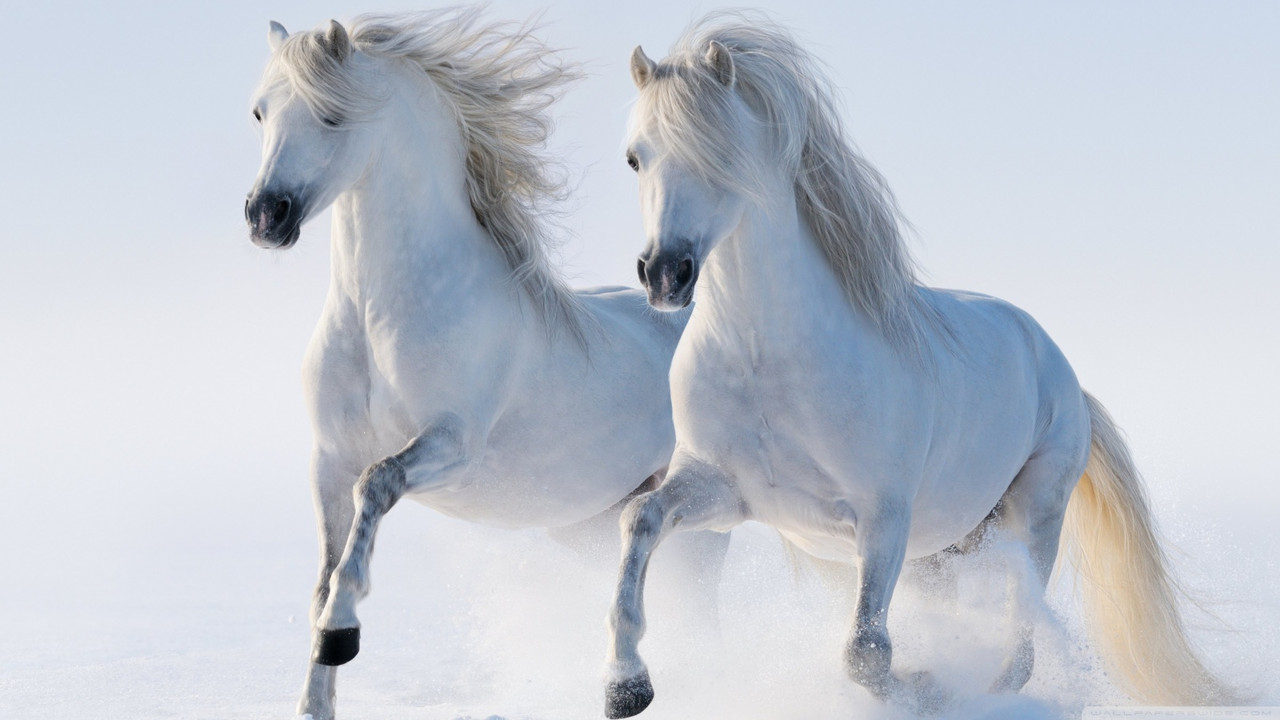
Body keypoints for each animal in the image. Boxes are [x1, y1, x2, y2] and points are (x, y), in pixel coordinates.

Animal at [240, 11, 721, 717]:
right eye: (260, 111)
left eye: (331, 115)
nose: (265, 216)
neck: (378, 315)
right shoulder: (328, 459)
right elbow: (323, 574)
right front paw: (314, 697)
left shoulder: (451, 444)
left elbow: (376, 487)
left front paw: (342, 632)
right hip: (589, 524)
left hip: (704, 517)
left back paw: (633, 685)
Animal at [604, 14, 1233, 712]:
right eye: (635, 157)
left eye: (720, 154)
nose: (665, 273)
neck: (767, 360)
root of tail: (1061, 371)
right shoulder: (723, 491)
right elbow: (639, 518)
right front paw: (626, 686)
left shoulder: (883, 518)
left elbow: (867, 653)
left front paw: (925, 687)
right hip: (942, 552)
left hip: (1032, 517)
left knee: (1020, 642)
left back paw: (985, 692)